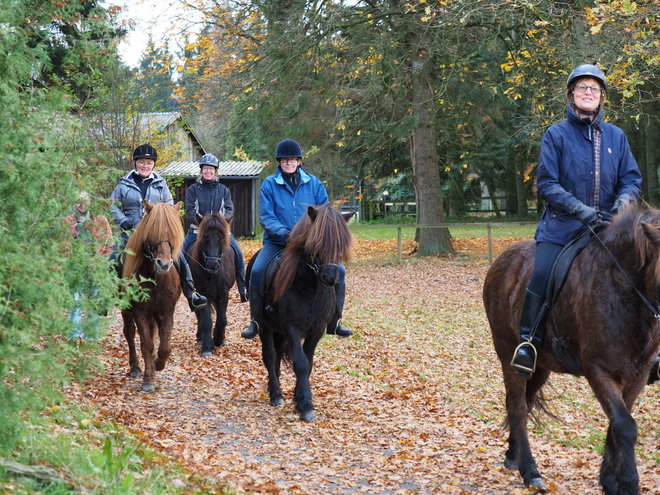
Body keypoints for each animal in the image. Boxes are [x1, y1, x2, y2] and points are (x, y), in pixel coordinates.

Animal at [120, 201, 183, 392]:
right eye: (152, 235)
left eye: (172, 235)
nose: (164, 264)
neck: (154, 278)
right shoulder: (139, 311)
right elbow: (146, 344)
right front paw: (148, 379)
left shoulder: (167, 311)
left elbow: (165, 346)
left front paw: (157, 364)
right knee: (129, 333)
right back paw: (135, 368)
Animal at [187, 213, 236, 356]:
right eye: (205, 237)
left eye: (222, 238)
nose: (212, 265)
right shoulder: (203, 293)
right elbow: (206, 320)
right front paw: (207, 347)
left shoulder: (223, 293)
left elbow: (222, 319)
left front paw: (219, 339)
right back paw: (201, 338)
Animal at [250, 203, 356, 420]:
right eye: (317, 243)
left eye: (340, 246)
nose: (330, 278)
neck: (310, 288)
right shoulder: (291, 327)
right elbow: (301, 363)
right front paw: (305, 404)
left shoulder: (317, 329)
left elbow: (308, 363)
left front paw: (299, 399)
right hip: (265, 327)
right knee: (269, 356)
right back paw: (275, 394)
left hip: (278, 331)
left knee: (277, 356)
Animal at [480, 203, 660, 494]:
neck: (623, 289)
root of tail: (503, 259)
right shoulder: (599, 370)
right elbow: (624, 426)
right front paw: (627, 483)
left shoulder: (638, 374)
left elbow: (617, 423)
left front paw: (609, 481)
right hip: (507, 350)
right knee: (517, 407)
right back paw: (530, 471)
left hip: (540, 365)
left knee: (524, 402)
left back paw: (512, 455)